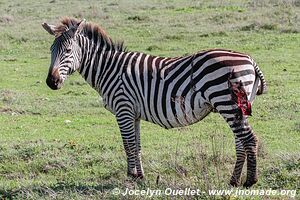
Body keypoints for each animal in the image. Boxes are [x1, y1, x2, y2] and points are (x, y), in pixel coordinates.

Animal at [42, 17, 268, 188]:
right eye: (51, 50)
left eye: (68, 51)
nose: (51, 82)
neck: (110, 69)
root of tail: (250, 60)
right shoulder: (133, 113)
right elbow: (136, 145)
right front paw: (139, 176)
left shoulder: (123, 108)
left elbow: (128, 144)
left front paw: (132, 177)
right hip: (235, 106)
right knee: (240, 142)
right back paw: (233, 181)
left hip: (227, 103)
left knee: (249, 139)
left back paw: (250, 181)